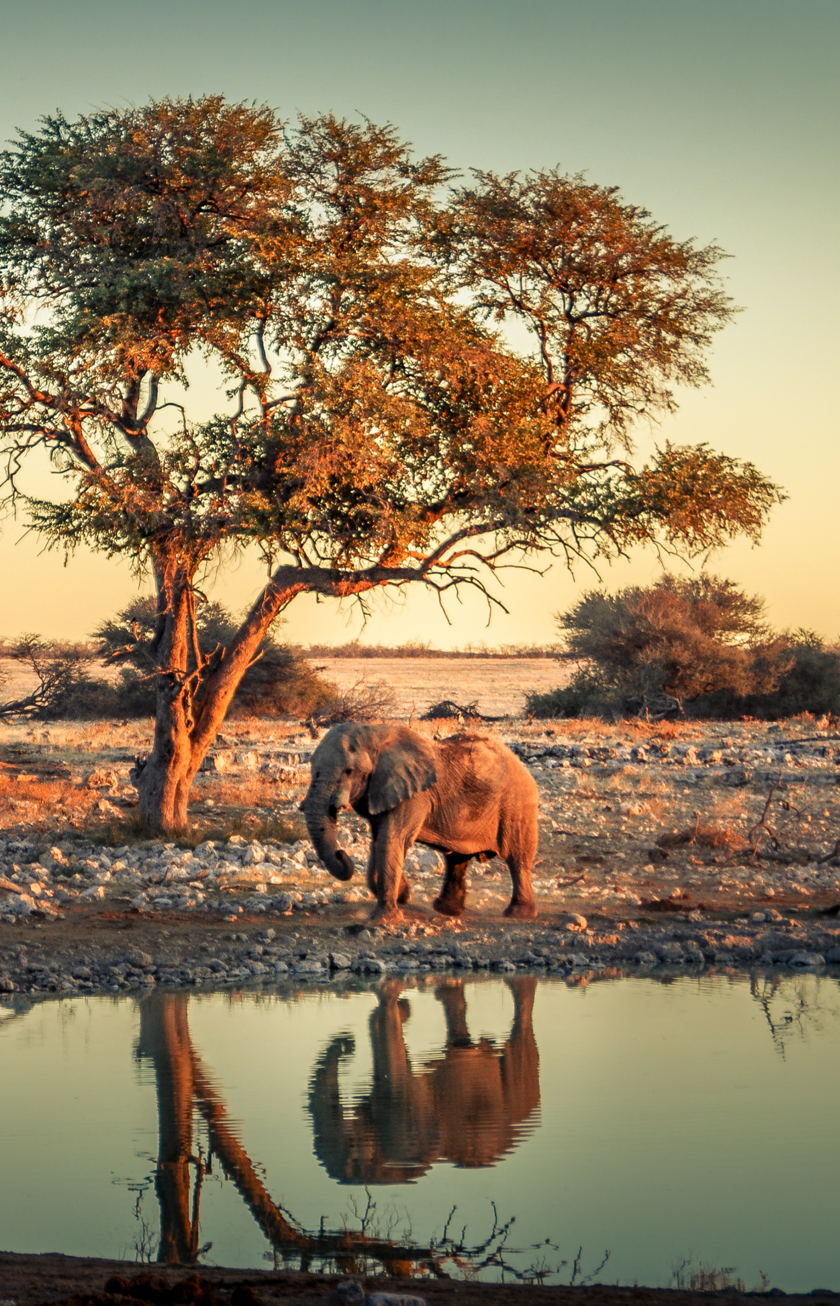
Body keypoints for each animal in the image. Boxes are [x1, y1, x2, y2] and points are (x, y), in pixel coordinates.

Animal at [301, 723, 540, 922]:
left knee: (517, 858)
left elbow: (392, 839)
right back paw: (447, 910)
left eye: (349, 771)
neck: (374, 732)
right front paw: (404, 895)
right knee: (457, 858)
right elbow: (379, 841)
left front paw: (385, 918)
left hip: (517, 805)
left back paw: (518, 914)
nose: (342, 854)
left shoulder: (414, 796)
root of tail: (521, 765)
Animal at [308, 977, 540, 1183]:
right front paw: (403, 1008)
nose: (348, 1044)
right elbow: (377, 1022)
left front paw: (393, 997)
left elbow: (384, 1025)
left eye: (349, 1154)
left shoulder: (404, 1123)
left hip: (518, 1087)